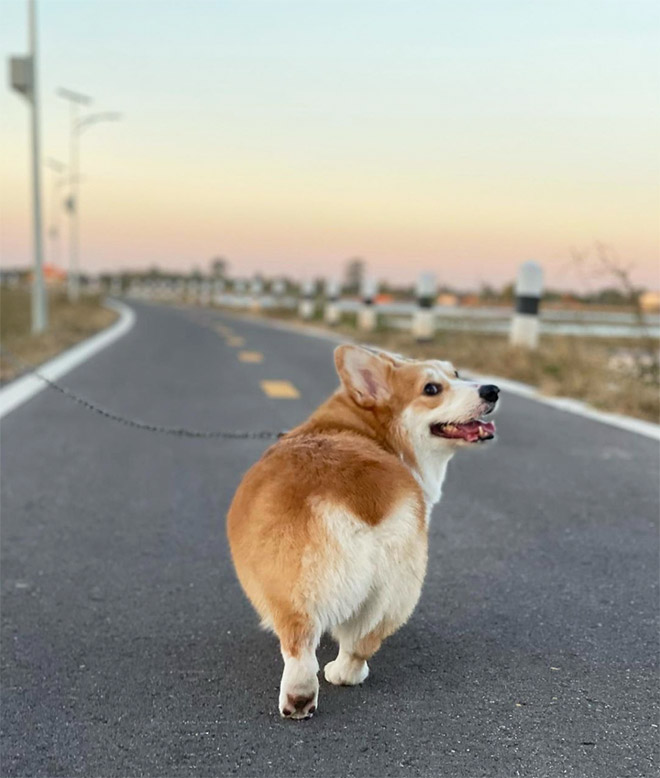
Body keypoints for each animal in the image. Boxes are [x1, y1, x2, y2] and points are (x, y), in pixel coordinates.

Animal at [228, 342, 500, 720]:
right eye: (433, 388)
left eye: (455, 374)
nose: (492, 390)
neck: (363, 429)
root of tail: (362, 497)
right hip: (395, 584)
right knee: (362, 642)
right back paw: (346, 674)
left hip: (293, 582)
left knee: (301, 645)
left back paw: (302, 696)